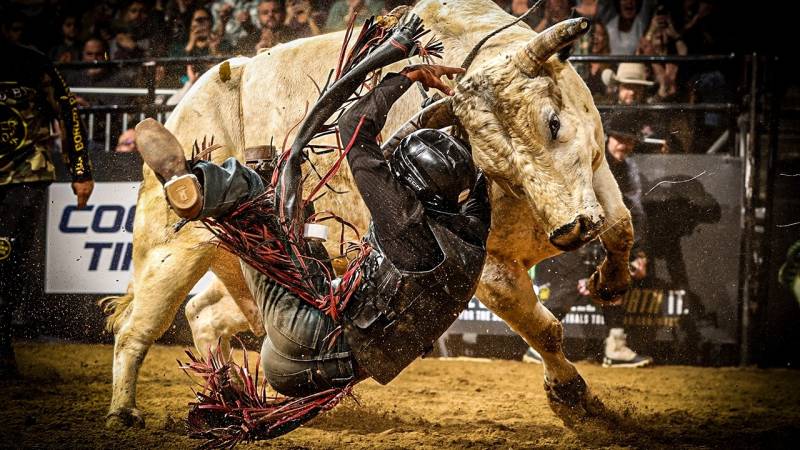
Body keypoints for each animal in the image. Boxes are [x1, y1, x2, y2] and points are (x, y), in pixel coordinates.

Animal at [101, 0, 633, 428]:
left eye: (554, 123)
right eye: (496, 165)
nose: (572, 230)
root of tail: (192, 96)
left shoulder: (596, 169)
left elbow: (621, 224)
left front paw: (611, 282)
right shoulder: (493, 272)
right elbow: (545, 328)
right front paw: (573, 398)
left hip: (249, 263)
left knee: (207, 313)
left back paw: (228, 396)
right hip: (172, 247)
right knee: (137, 327)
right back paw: (125, 410)